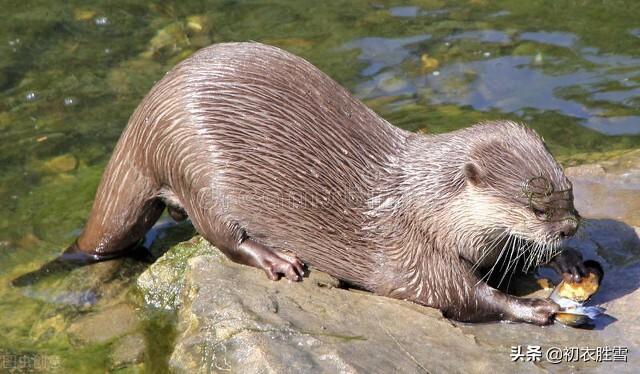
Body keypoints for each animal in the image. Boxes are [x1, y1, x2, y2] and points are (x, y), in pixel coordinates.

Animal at [60, 42, 584, 324]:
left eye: (570, 195)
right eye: (536, 206)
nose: (570, 227)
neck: (427, 207)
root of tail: (146, 117)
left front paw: (568, 261)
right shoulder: (410, 252)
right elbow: (459, 295)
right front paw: (534, 308)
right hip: (197, 166)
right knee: (220, 234)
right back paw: (277, 259)